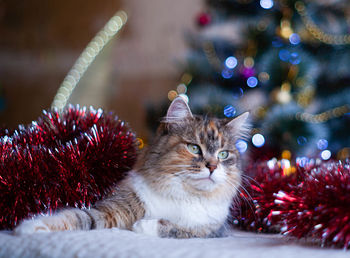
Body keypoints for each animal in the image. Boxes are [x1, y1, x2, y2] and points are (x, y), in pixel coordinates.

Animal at [13, 97, 249, 238]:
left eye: (223, 154)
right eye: (194, 148)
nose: (212, 167)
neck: (184, 196)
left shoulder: (214, 231)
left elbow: (178, 228)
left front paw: (142, 226)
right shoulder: (111, 211)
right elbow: (77, 217)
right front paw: (33, 227)